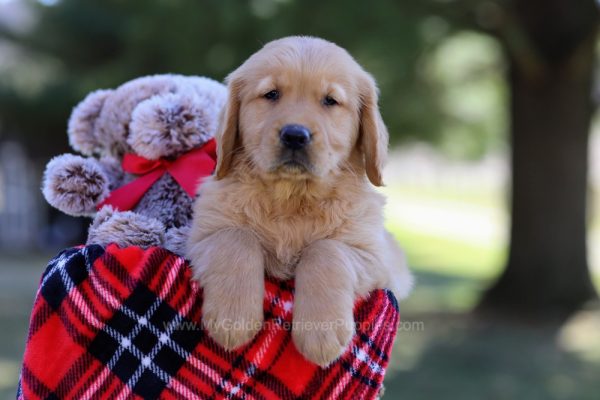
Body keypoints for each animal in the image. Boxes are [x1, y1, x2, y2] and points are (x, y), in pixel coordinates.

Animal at [186, 36, 412, 366]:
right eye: (271, 94)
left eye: (330, 101)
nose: (295, 135)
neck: (292, 198)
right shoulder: (200, 235)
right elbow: (236, 238)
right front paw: (234, 318)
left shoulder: (378, 257)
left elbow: (326, 250)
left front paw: (321, 332)